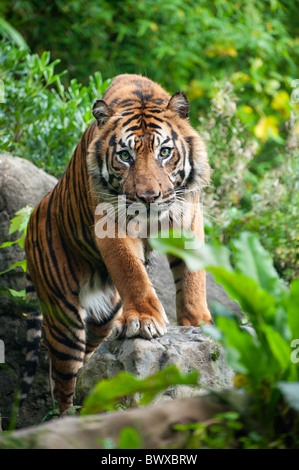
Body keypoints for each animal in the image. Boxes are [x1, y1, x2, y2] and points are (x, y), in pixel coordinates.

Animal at [21, 71, 212, 414]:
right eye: (125, 156)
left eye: (165, 152)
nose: (148, 198)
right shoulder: (111, 221)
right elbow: (131, 271)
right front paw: (143, 320)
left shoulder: (187, 213)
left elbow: (192, 276)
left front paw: (197, 323)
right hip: (63, 318)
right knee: (64, 379)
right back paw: (70, 414)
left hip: (104, 316)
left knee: (87, 361)